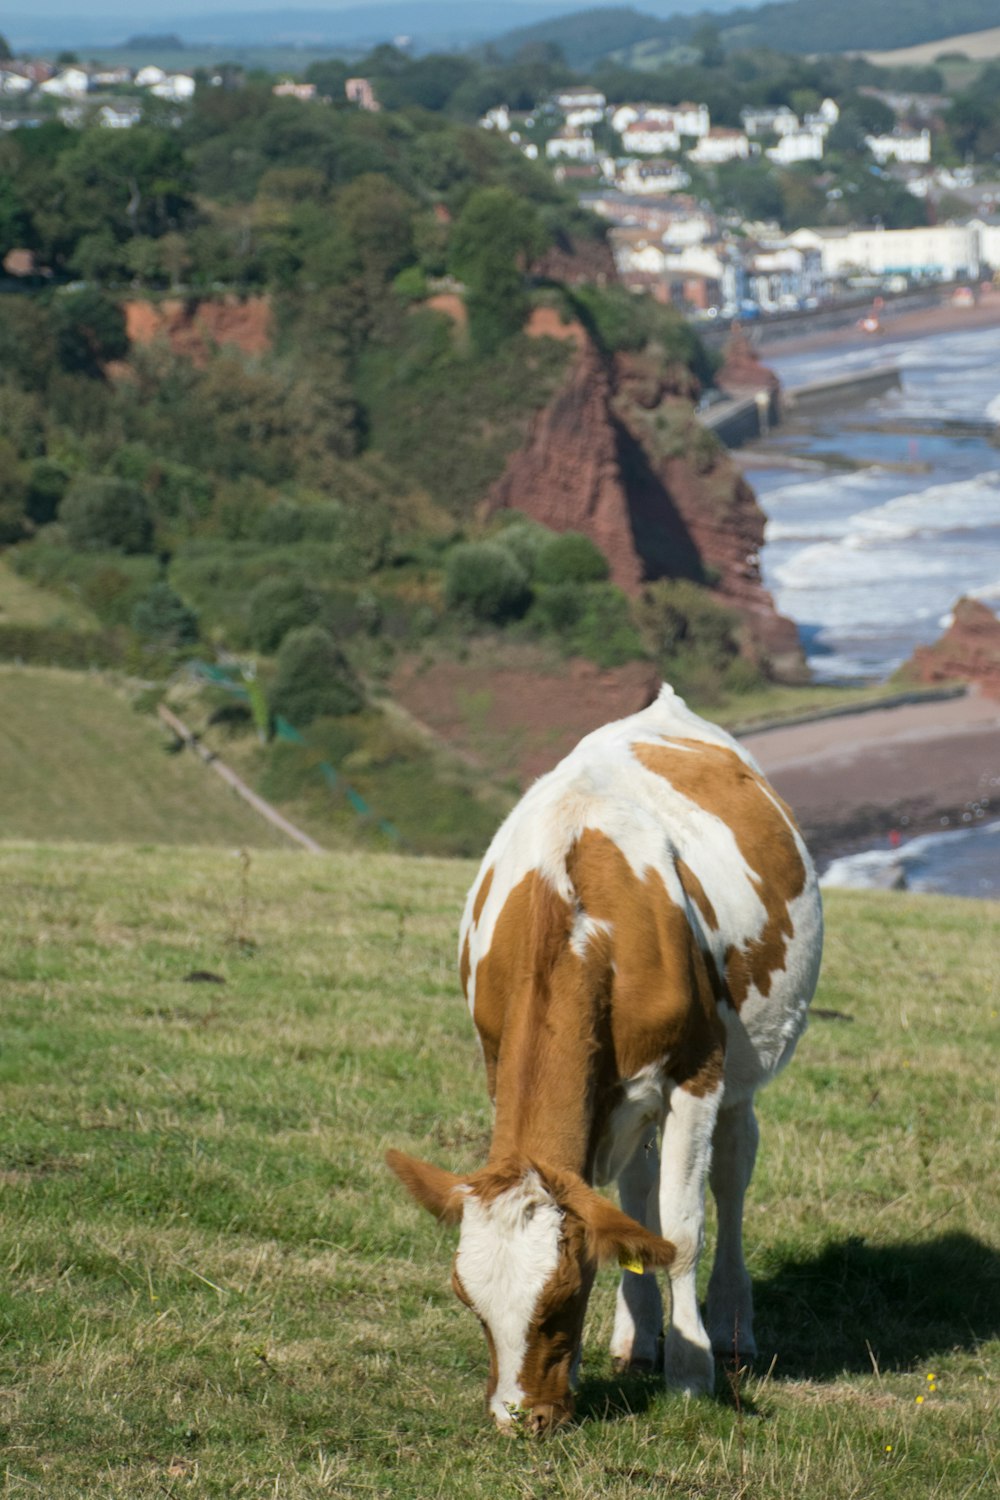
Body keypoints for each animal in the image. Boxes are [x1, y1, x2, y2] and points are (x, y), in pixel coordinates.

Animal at [389, 681, 821, 1428]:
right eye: (469, 1303)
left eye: (562, 1297)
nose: (520, 1420)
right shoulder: (506, 1064)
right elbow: (625, 1219)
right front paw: (627, 1352)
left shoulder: (696, 1075)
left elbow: (682, 1229)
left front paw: (691, 1372)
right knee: (638, 1191)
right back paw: (636, 1337)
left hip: (740, 1071)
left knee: (731, 1172)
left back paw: (732, 1328)